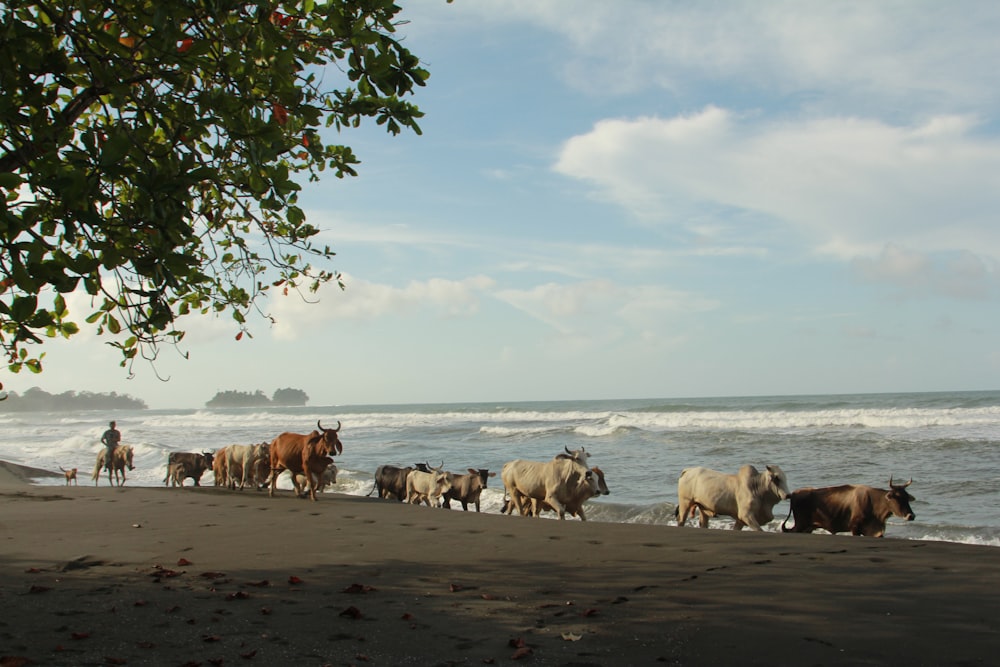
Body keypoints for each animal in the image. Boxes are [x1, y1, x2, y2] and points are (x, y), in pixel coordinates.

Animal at [780, 474, 916, 536]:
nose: (911, 516)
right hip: (800, 525)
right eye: (897, 497)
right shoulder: (854, 528)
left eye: (906, 497)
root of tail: (795, 493)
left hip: (808, 527)